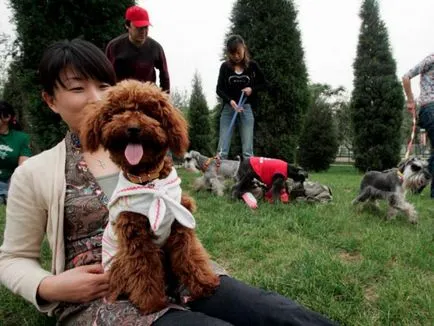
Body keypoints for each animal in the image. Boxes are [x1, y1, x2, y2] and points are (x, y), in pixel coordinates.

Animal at [80, 79, 219, 314]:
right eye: (118, 112)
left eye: (149, 112)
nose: (133, 128)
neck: (149, 180)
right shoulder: (135, 235)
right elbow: (144, 269)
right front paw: (151, 303)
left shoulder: (181, 224)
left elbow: (190, 255)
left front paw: (204, 283)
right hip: (120, 262)